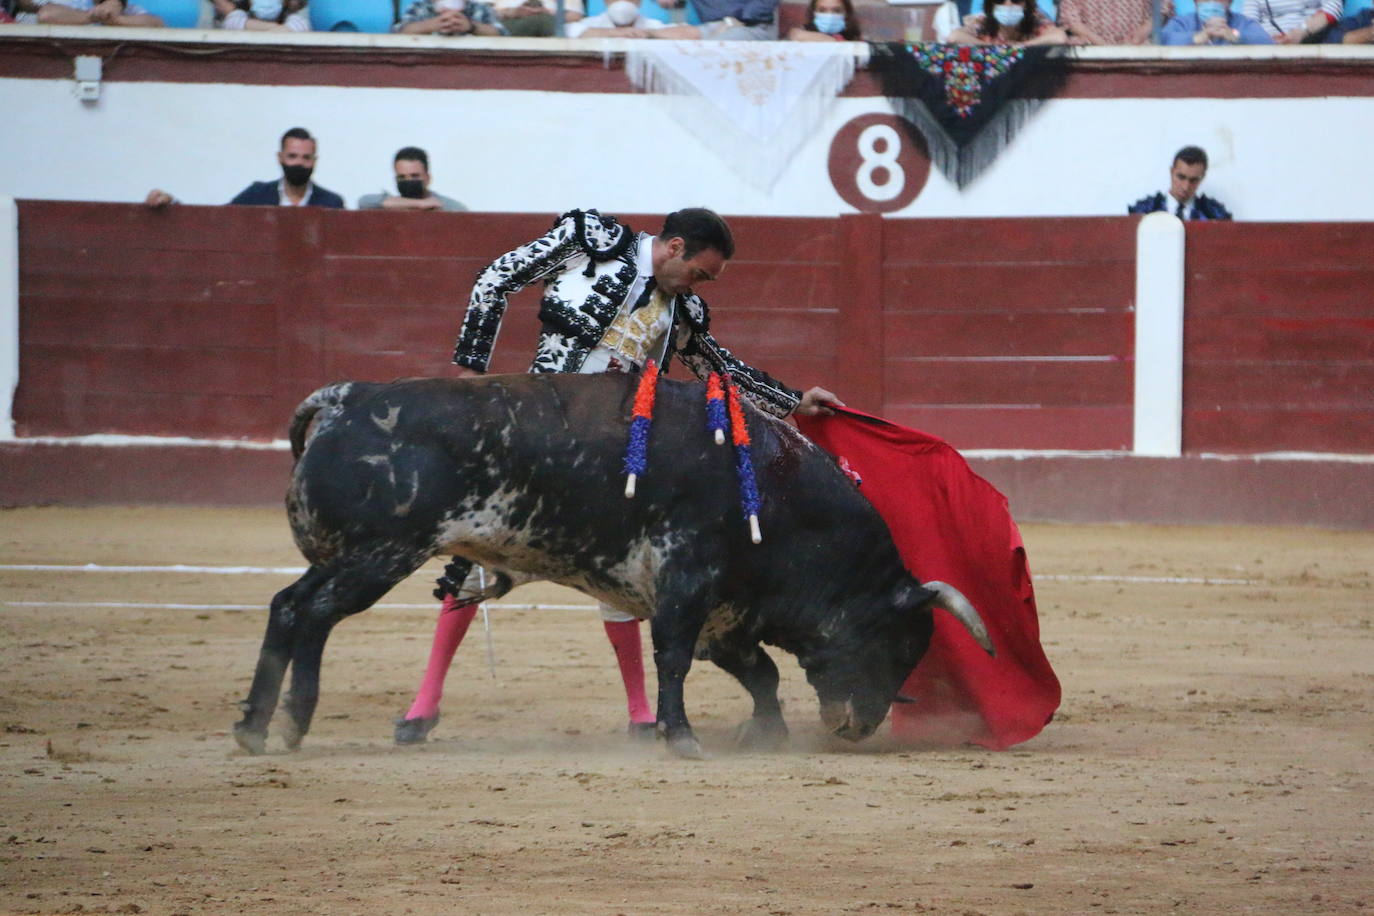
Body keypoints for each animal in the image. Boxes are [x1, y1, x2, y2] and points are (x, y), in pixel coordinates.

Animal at [230, 373, 994, 758]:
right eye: (896, 644)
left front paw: (763, 734)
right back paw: (290, 723)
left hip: (353, 557)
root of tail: (342, 398)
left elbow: (761, 674)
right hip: (379, 554)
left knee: (288, 607)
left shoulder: (727, 611)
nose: (857, 728)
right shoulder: (688, 583)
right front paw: (681, 737)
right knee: (314, 614)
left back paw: (256, 726)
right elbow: (675, 659)